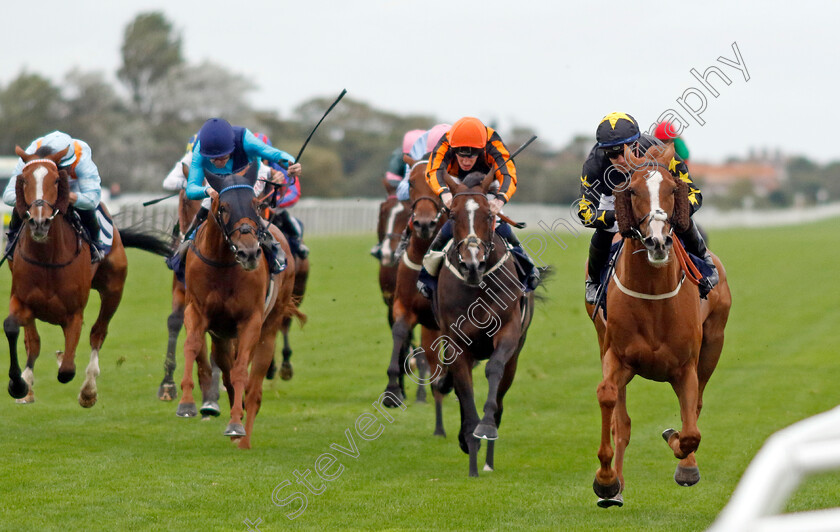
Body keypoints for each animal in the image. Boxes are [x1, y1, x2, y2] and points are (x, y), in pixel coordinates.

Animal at [6, 143, 171, 406]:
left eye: (56, 180)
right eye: (23, 180)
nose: (39, 222)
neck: (47, 260)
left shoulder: (74, 314)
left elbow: (67, 370)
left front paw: (74, 376)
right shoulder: (22, 299)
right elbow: (19, 333)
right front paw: (19, 384)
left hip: (113, 290)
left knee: (98, 334)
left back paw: (88, 390)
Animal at [176, 166, 300, 448]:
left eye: (256, 204)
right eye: (223, 207)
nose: (249, 253)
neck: (223, 263)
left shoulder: (250, 321)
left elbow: (242, 370)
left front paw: (235, 425)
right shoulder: (196, 311)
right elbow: (192, 347)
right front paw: (186, 403)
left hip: (269, 328)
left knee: (254, 388)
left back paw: (244, 437)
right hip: (222, 337)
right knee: (227, 372)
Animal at [436, 171, 536, 478]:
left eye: (489, 215)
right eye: (452, 214)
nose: (472, 265)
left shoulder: (508, 331)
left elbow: (494, 369)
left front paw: (487, 427)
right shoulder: (456, 343)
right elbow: (465, 391)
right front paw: (469, 443)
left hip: (516, 356)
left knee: (501, 392)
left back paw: (490, 456)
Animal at [588, 144, 732, 508]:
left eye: (671, 189)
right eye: (632, 191)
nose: (657, 242)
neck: (653, 296)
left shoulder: (686, 367)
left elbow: (691, 430)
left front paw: (681, 455)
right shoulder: (616, 356)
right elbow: (609, 401)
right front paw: (606, 482)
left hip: (714, 342)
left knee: (695, 408)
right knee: (621, 420)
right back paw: (616, 486)